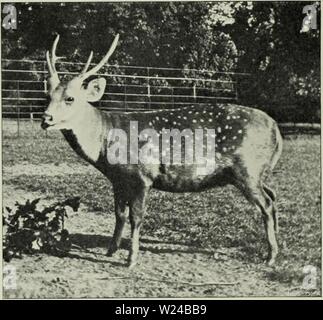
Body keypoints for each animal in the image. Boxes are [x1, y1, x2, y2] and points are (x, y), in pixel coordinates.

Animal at [42, 33, 284, 268]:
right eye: (48, 96)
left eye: (70, 98)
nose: (46, 118)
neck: (105, 142)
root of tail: (276, 129)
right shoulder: (118, 179)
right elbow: (119, 214)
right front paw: (111, 250)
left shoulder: (142, 175)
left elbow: (136, 217)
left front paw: (131, 259)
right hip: (254, 173)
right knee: (272, 195)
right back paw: (277, 246)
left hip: (247, 169)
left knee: (266, 203)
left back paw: (271, 256)